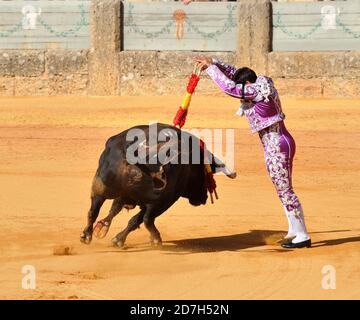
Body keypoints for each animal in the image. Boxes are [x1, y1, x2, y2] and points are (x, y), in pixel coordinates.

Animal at [80, 123, 235, 248]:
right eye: (206, 175)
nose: (203, 199)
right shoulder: (161, 200)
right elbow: (137, 219)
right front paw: (118, 239)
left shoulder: (128, 197)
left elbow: (116, 211)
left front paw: (109, 233)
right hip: (162, 200)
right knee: (147, 219)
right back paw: (156, 239)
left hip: (100, 188)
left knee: (93, 211)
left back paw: (86, 235)